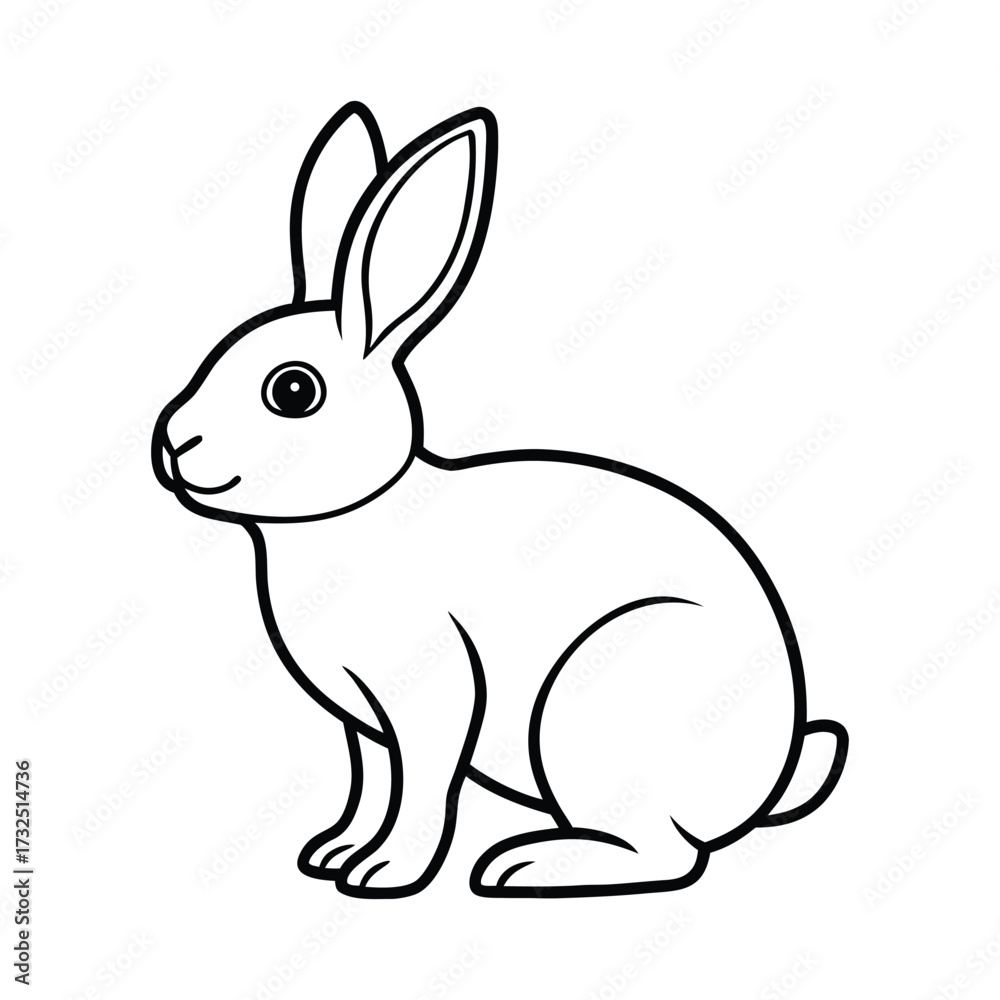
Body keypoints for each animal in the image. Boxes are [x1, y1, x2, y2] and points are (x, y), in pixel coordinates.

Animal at [152, 102, 847, 898]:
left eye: (292, 390)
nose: (172, 444)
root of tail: (768, 782)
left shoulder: (435, 699)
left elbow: (420, 789)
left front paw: (383, 872)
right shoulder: (365, 727)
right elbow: (371, 785)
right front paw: (332, 854)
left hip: (596, 706)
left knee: (669, 854)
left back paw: (525, 864)